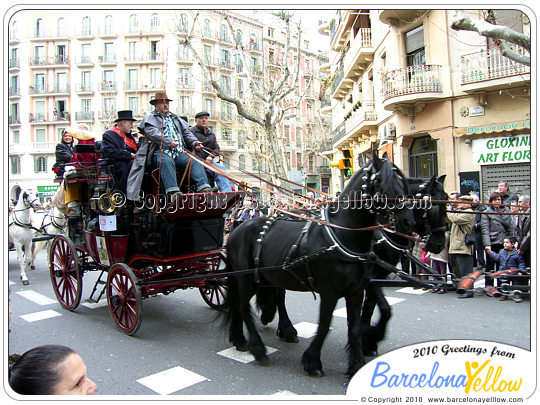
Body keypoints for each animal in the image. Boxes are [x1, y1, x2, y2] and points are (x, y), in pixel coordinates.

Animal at [223, 153, 414, 378]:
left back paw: (242, 339)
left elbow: (354, 327)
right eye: (381, 181)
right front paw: (312, 361)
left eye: (402, 182)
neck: (342, 235)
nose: (408, 221)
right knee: (243, 306)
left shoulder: (356, 291)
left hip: (264, 277)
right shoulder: (330, 292)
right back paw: (258, 349)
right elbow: (323, 325)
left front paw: (356, 363)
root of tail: (235, 231)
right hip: (246, 279)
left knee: (245, 303)